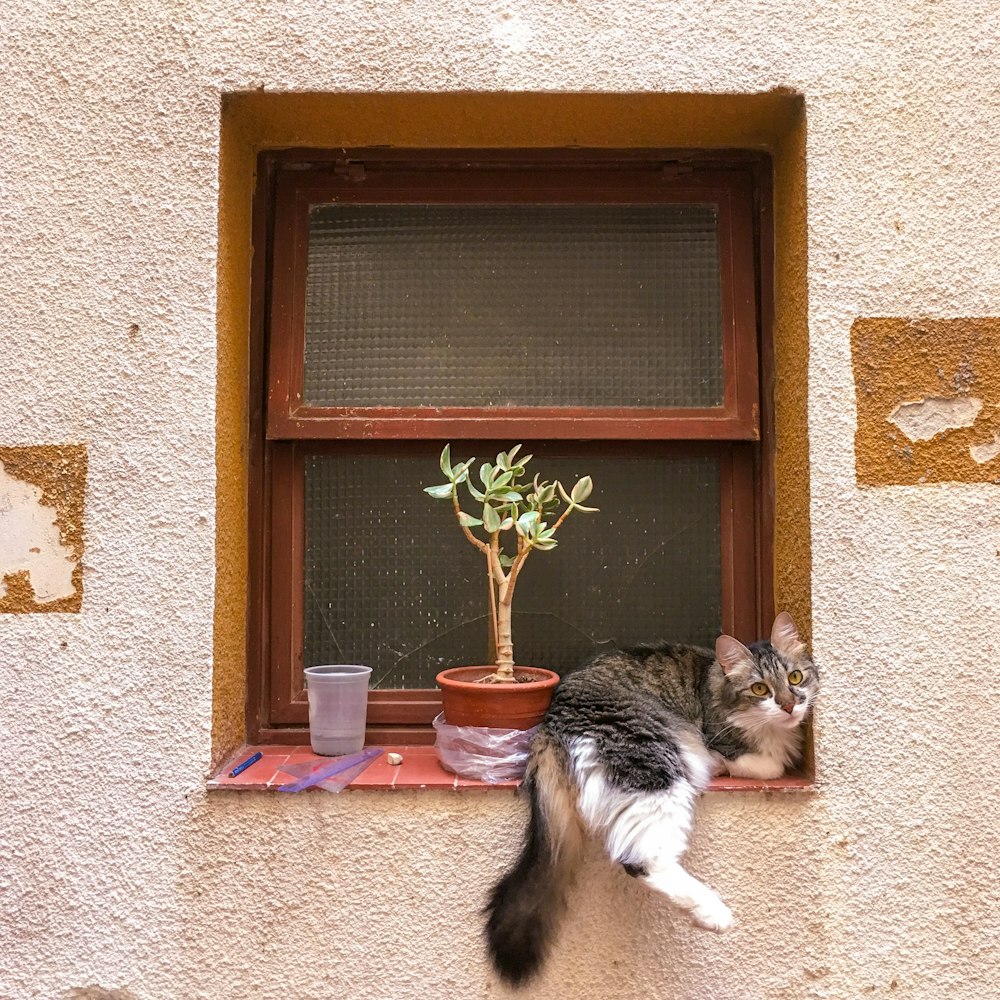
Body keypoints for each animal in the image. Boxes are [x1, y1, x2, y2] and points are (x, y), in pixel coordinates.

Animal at [484, 612, 820, 988]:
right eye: (760, 689)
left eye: (795, 677)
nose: (790, 706)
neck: (712, 688)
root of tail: (549, 725)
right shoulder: (720, 742)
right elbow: (766, 765)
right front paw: (735, 763)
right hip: (657, 769)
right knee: (640, 859)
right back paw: (713, 912)